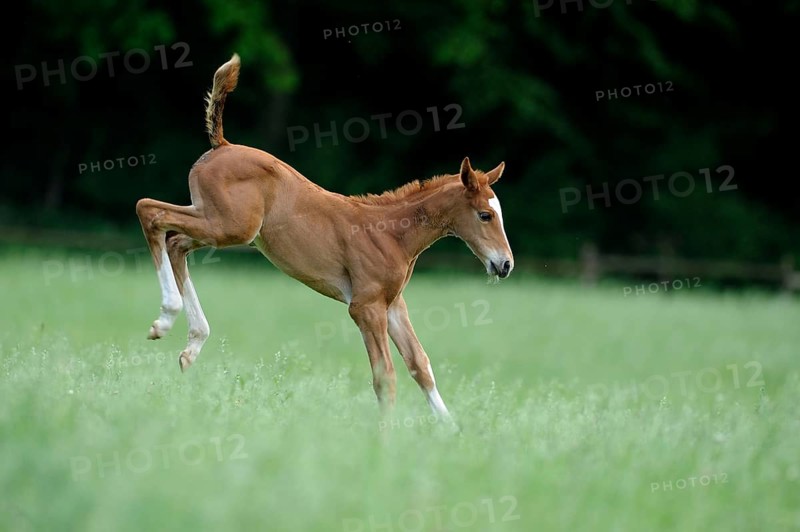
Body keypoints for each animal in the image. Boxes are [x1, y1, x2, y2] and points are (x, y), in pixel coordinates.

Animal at [135, 53, 514, 425]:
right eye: (485, 215)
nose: (505, 264)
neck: (393, 234)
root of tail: (222, 145)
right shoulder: (365, 307)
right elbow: (385, 377)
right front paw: (386, 437)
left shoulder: (393, 305)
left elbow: (421, 365)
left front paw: (451, 432)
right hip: (230, 226)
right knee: (150, 212)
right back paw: (166, 319)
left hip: (217, 223)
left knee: (175, 241)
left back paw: (190, 346)